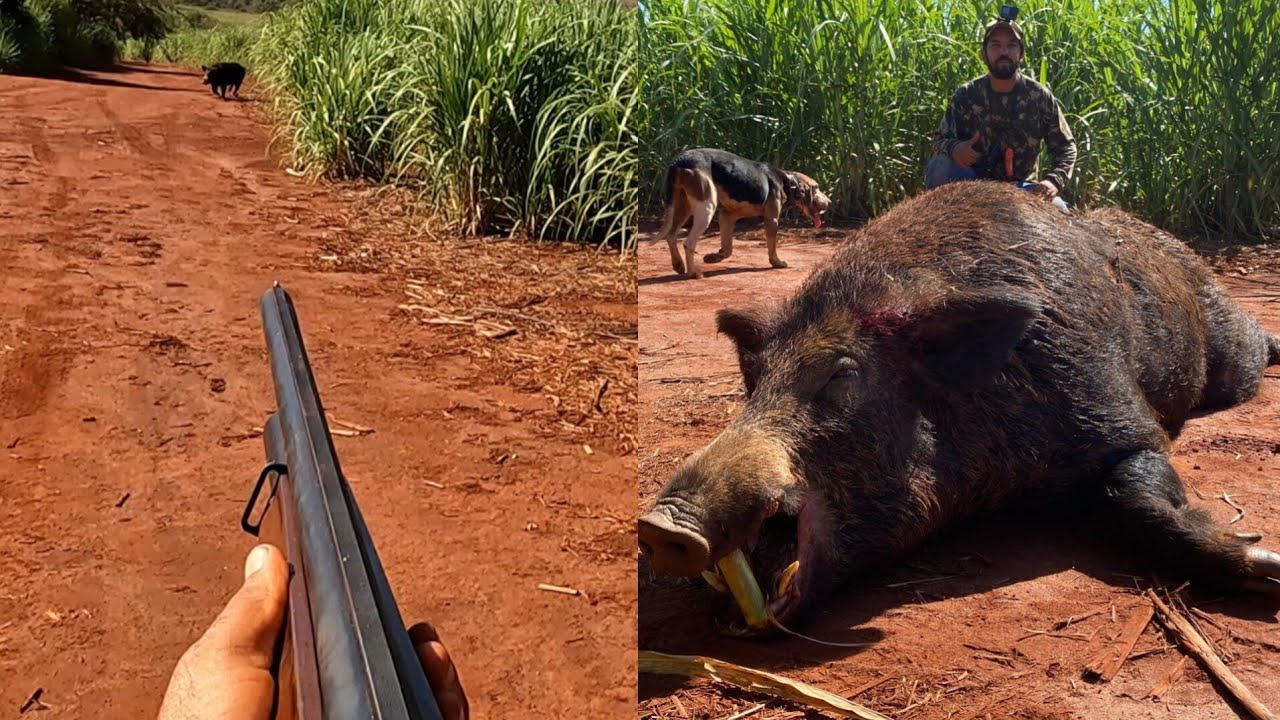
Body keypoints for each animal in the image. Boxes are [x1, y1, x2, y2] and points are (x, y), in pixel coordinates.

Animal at [638, 180, 1280, 634]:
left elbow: (1132, 485)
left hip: (1227, 350)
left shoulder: (1112, 405)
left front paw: (1264, 564)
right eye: (756, 380)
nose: (661, 522)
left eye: (842, 374)